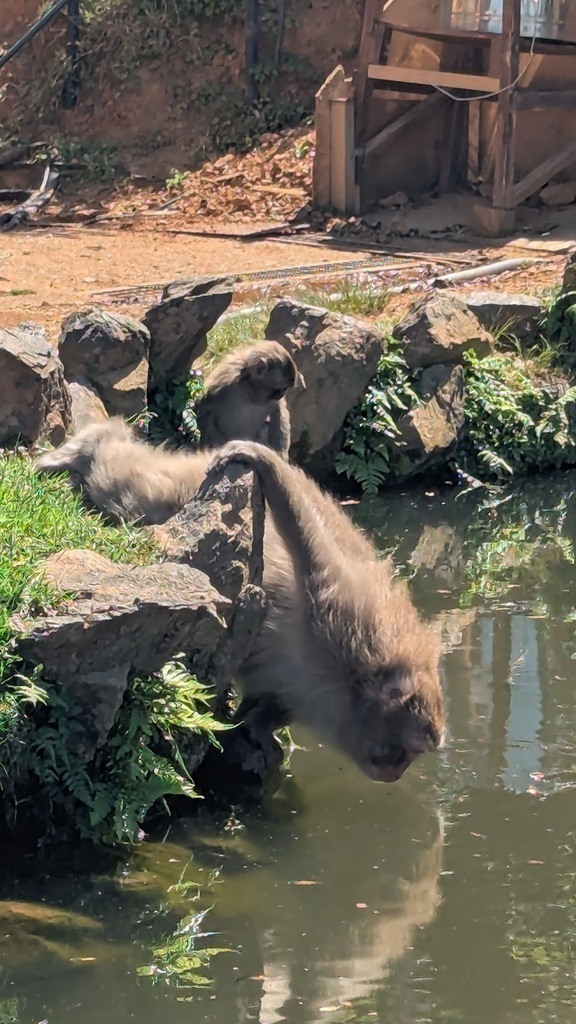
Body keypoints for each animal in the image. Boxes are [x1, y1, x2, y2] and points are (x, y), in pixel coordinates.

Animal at [34, 427, 445, 783]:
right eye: (407, 751)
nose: (396, 774)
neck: (354, 682)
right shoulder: (343, 614)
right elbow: (313, 545)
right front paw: (264, 460)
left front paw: (256, 728)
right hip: (168, 490)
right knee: (125, 482)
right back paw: (90, 444)